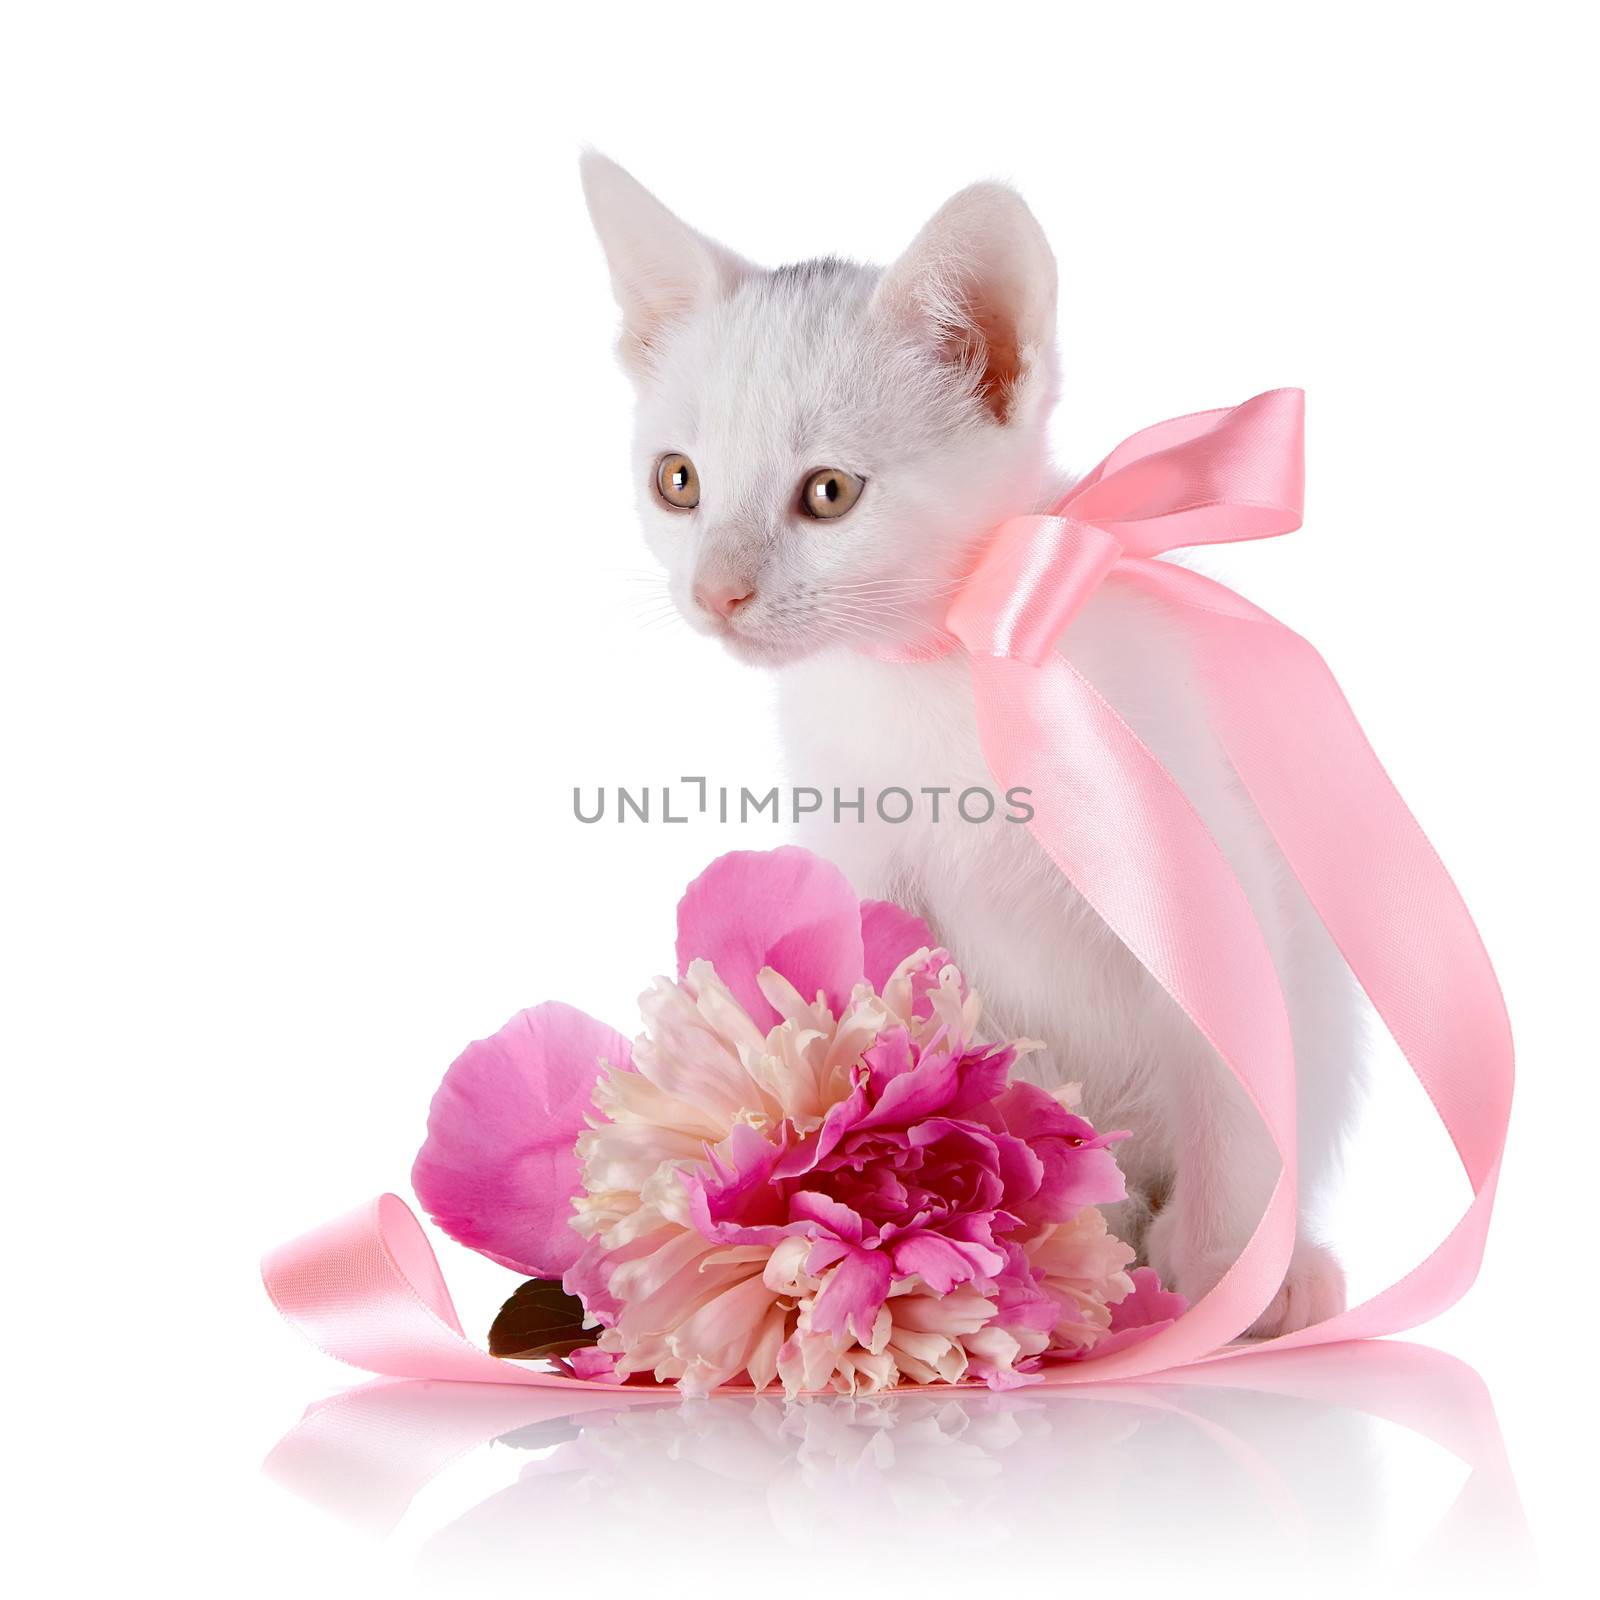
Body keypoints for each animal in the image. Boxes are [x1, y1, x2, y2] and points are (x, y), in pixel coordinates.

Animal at [582, 152, 1356, 1337]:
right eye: (679, 481)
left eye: (828, 492)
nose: (715, 592)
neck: (946, 665)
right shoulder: (864, 851)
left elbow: (1230, 1083)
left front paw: (1229, 1278)